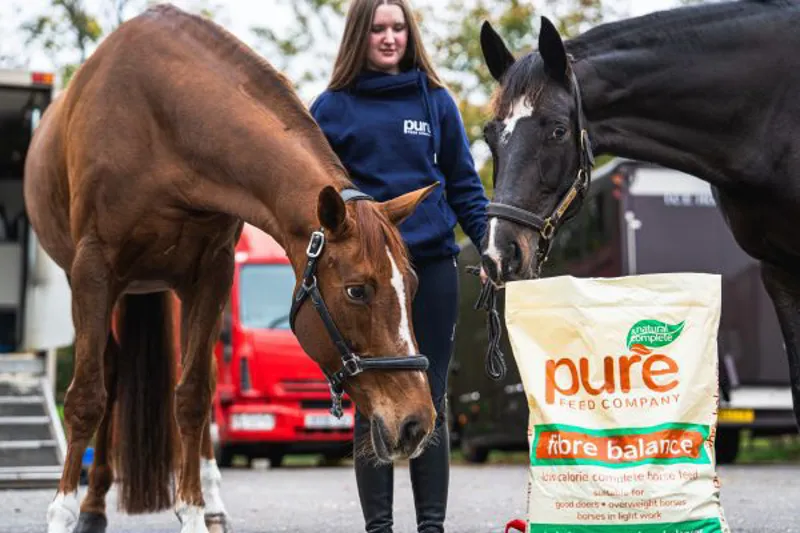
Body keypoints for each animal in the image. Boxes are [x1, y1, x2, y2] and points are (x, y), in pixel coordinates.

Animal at [23, 4, 439, 533]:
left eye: (413, 284)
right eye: (356, 291)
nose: (416, 422)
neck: (161, 118)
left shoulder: (213, 273)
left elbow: (193, 396)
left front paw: (194, 511)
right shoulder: (93, 270)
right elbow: (85, 399)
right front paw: (61, 512)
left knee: (197, 379)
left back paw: (209, 501)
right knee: (110, 374)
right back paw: (92, 506)